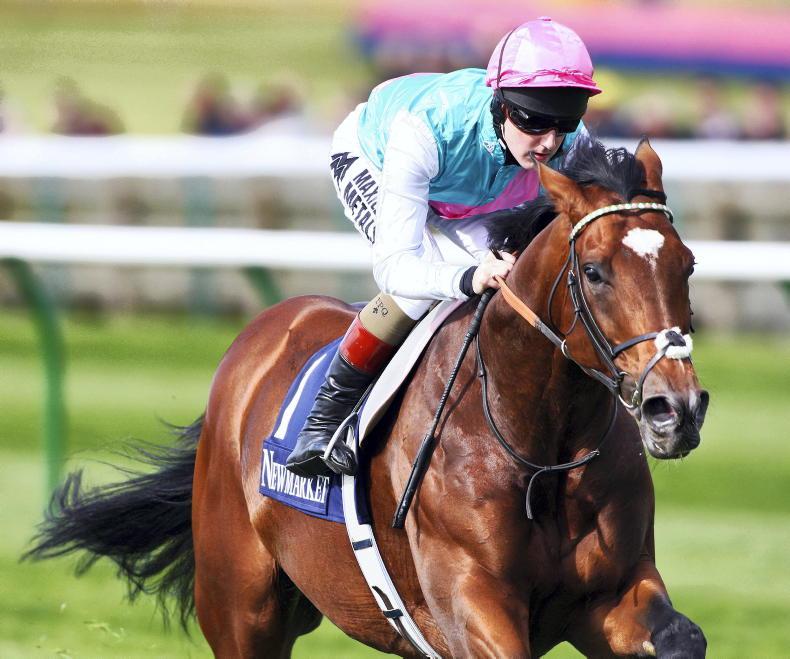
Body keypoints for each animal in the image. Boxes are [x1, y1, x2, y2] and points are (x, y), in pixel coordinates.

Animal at [27, 137, 710, 658]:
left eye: (688, 264)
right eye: (594, 271)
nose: (674, 410)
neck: (541, 446)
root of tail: (259, 337)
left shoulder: (612, 592)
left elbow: (681, 638)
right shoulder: (471, 603)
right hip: (241, 606)